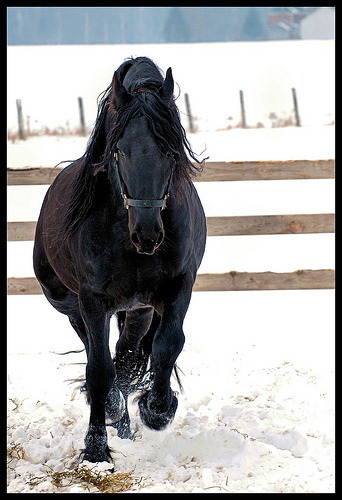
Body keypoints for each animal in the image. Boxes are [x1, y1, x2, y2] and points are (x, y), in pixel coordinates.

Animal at [33, 56, 207, 462]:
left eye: (170, 152)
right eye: (121, 151)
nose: (148, 234)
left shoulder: (178, 287)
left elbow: (167, 345)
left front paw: (158, 409)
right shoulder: (93, 300)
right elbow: (98, 372)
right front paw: (97, 450)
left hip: (138, 309)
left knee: (126, 358)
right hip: (72, 306)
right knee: (98, 356)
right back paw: (115, 417)